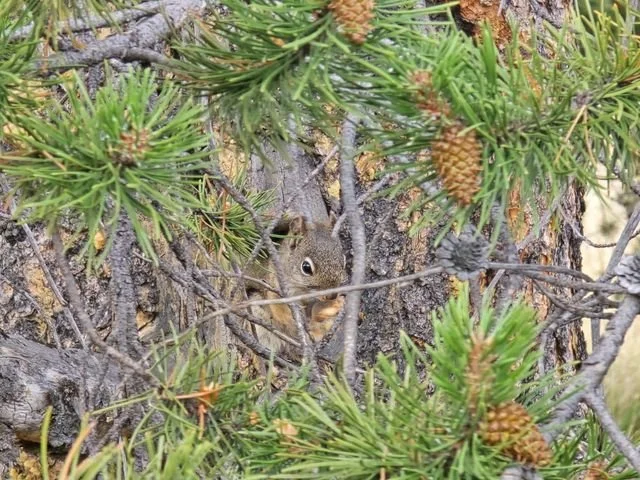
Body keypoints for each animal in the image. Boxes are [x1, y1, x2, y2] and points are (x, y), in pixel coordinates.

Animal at [245, 214, 346, 356]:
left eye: (344, 262)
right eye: (306, 267)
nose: (332, 296)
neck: (303, 291)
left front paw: (334, 304)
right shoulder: (275, 286)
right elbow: (280, 309)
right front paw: (293, 320)